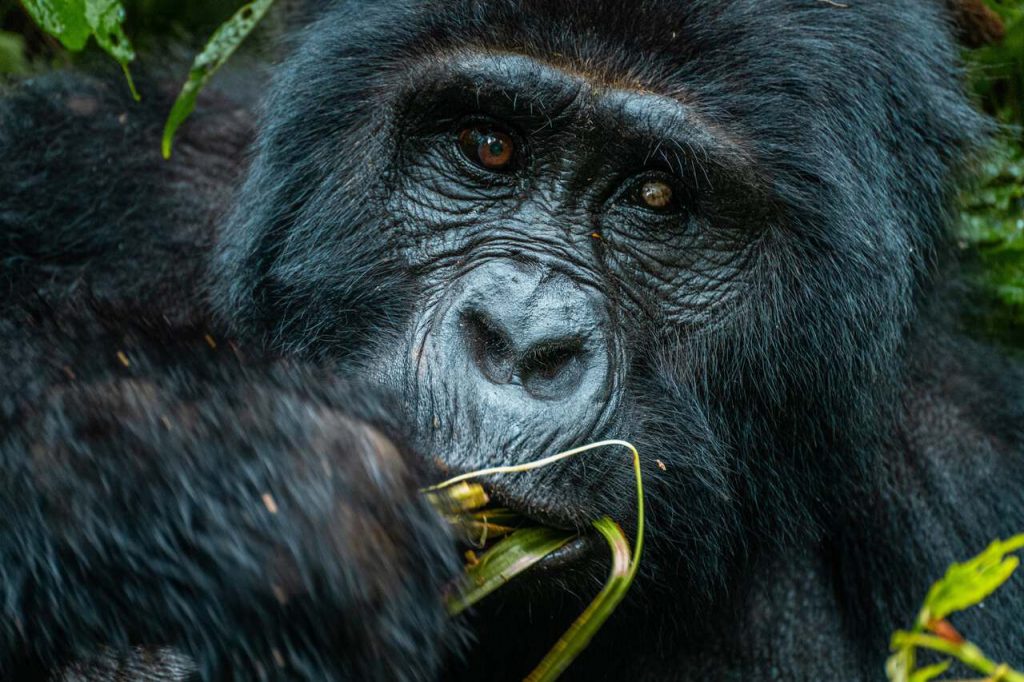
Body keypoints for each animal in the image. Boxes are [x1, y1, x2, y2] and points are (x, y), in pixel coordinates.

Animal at [2, 0, 1024, 675]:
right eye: (488, 145)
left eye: (659, 197)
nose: (522, 340)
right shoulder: (101, 160)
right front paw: (226, 464)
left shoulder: (971, 486)